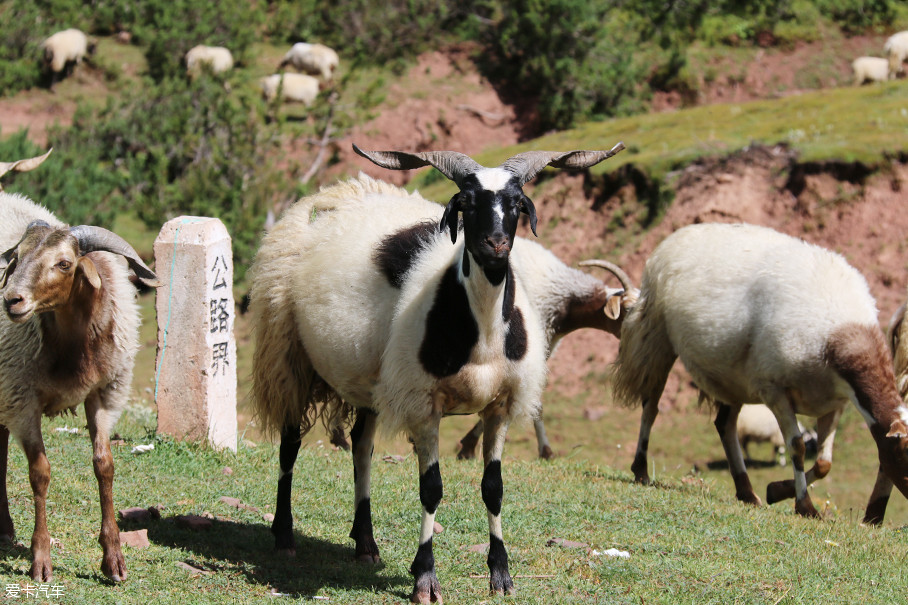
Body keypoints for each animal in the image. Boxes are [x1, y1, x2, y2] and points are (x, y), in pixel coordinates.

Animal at [612, 222, 908, 520]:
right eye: (905, 456)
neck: (838, 331)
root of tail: (682, 232)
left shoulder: (835, 403)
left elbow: (824, 463)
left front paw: (777, 491)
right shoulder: (774, 389)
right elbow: (797, 447)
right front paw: (804, 505)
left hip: (730, 376)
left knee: (725, 425)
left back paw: (747, 492)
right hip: (657, 338)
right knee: (651, 407)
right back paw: (641, 470)